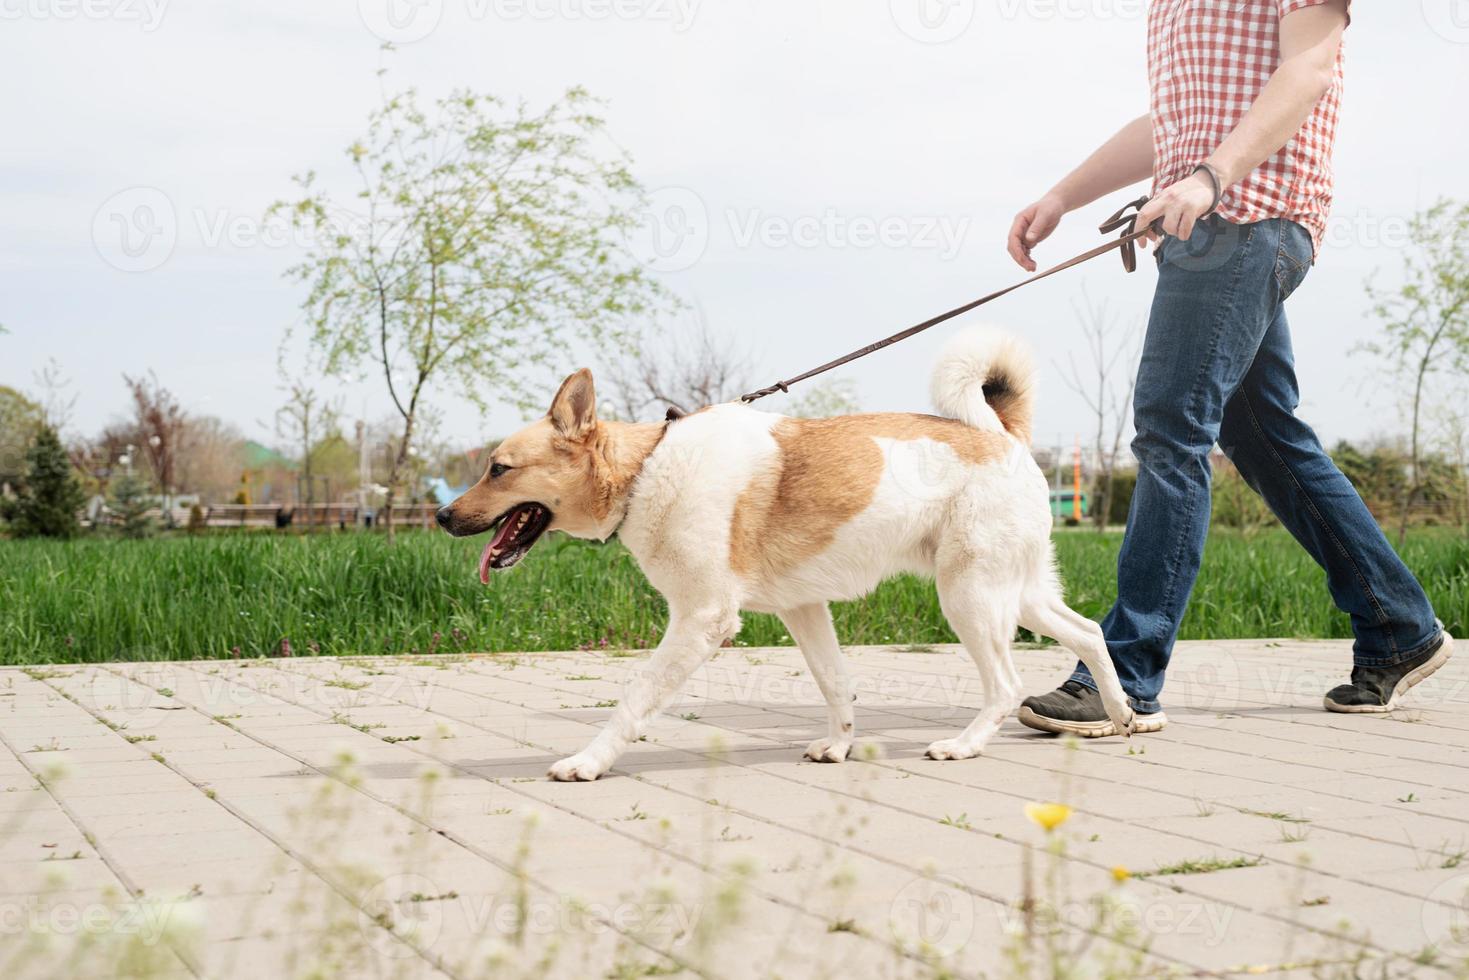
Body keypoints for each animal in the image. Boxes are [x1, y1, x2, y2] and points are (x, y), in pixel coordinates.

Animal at [434, 329, 1134, 781]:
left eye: (498, 469)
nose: (441, 516)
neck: (646, 470)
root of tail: (1001, 437)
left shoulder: (701, 621)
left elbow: (635, 698)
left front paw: (589, 761)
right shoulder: (805, 610)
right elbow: (836, 685)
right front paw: (840, 747)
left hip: (970, 597)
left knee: (1006, 684)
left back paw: (965, 745)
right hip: (1017, 593)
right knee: (1089, 632)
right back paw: (1121, 713)